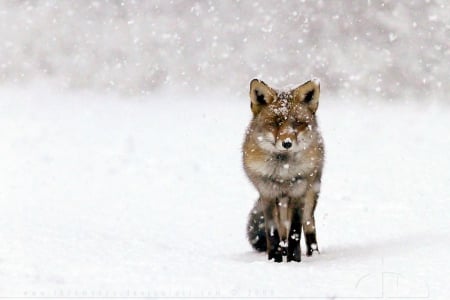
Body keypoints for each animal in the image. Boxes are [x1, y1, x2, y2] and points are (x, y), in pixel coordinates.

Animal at [243, 78, 324, 262]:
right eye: (276, 123)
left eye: (298, 123)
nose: (287, 143)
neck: (283, 173)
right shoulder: (267, 193)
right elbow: (273, 231)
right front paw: (275, 259)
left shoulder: (298, 192)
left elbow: (295, 231)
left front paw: (294, 260)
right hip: (280, 200)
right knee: (282, 229)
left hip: (311, 193)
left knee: (308, 225)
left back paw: (313, 254)